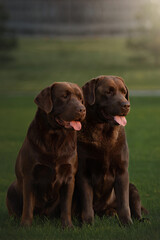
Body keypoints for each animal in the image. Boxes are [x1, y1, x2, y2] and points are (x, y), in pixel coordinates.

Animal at [5, 81, 86, 228]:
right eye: (64, 96)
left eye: (80, 98)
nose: (82, 109)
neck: (55, 139)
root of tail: (43, 216)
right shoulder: (29, 175)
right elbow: (28, 205)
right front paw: (25, 226)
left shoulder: (70, 177)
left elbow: (66, 206)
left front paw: (67, 226)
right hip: (12, 188)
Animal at [76, 75, 145, 225]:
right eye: (108, 92)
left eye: (124, 92)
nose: (126, 105)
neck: (103, 133)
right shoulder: (83, 172)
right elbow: (87, 203)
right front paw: (87, 224)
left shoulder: (122, 171)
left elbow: (124, 204)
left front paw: (127, 224)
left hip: (133, 188)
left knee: (135, 207)